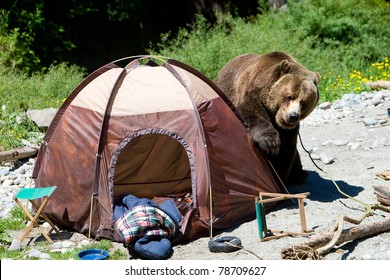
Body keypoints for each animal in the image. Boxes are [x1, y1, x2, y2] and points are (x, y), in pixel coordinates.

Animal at [216, 51, 320, 185]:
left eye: (304, 102)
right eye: (289, 96)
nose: (293, 116)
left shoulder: (289, 130)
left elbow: (286, 149)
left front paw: (279, 177)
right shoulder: (252, 94)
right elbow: (252, 115)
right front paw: (271, 143)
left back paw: (299, 175)